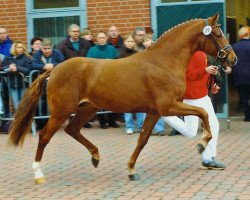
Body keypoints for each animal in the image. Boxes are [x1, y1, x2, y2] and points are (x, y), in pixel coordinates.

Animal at [8, 13, 238, 183]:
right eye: (218, 34)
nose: (233, 59)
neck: (163, 62)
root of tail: (53, 69)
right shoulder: (167, 107)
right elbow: (203, 112)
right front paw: (202, 143)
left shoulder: (154, 112)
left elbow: (143, 139)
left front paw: (131, 170)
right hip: (61, 111)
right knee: (44, 136)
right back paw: (38, 173)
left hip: (87, 108)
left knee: (72, 130)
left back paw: (95, 156)